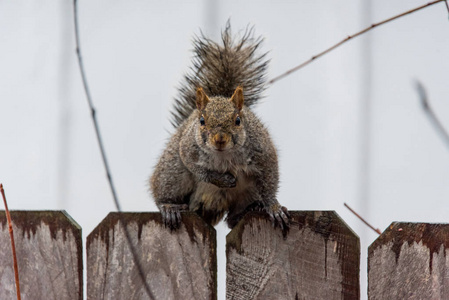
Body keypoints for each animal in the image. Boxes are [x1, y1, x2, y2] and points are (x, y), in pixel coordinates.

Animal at [149, 23, 288, 230]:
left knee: (233, 219)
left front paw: (273, 207)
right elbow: (198, 168)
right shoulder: (188, 148)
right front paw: (221, 179)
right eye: (202, 121)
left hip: (249, 191)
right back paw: (169, 207)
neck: (223, 155)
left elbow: (270, 177)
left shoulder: (263, 152)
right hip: (172, 172)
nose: (219, 139)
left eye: (238, 120)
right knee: (164, 191)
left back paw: (251, 209)